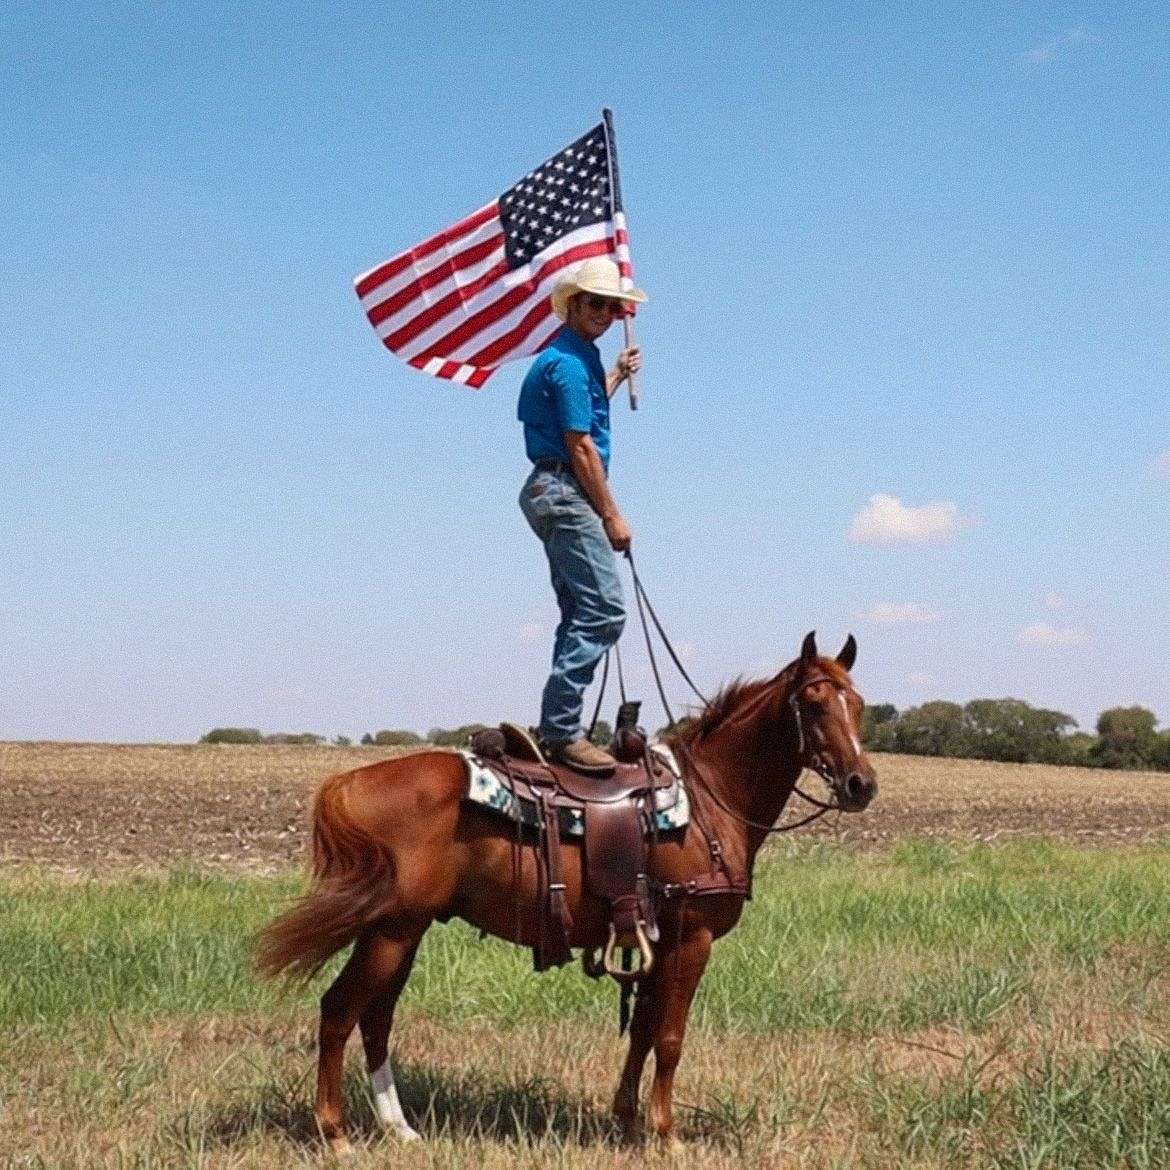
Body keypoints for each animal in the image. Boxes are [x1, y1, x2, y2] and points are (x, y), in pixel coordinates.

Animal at [258, 631, 879, 1151]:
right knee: (340, 1010)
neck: (709, 800)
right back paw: (336, 1132)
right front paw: (667, 1135)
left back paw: (400, 1128)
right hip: (391, 931)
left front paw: (627, 1121)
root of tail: (349, 782)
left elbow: (643, 1031)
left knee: (376, 1017)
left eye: (858, 705)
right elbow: (670, 1036)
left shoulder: (654, 941)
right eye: (814, 704)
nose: (861, 785)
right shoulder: (691, 937)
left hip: (401, 932)